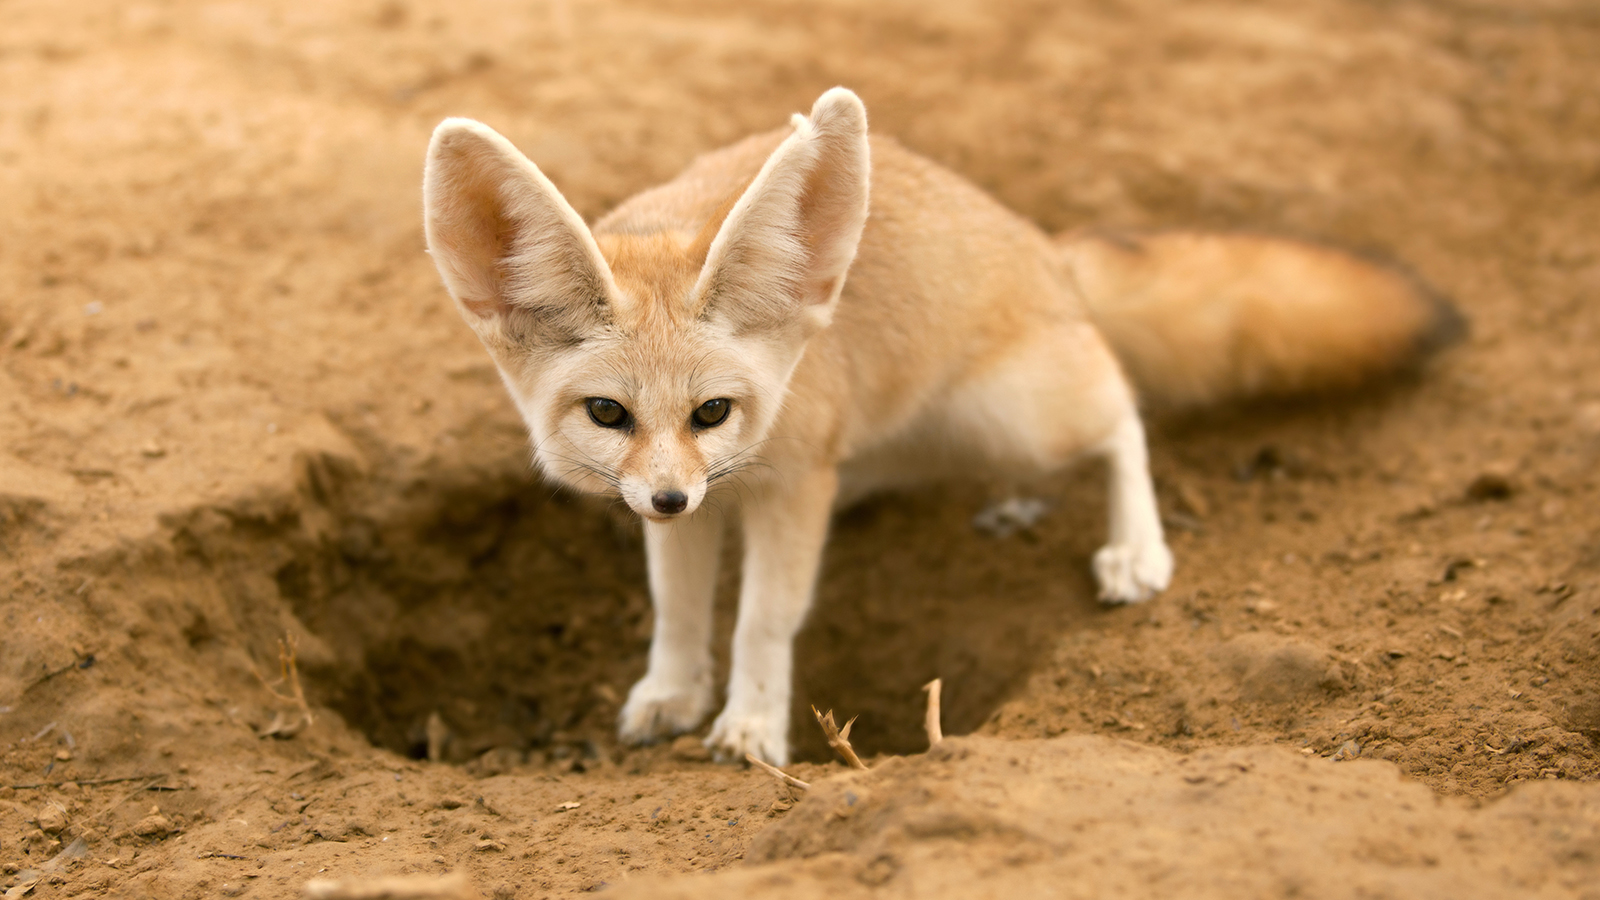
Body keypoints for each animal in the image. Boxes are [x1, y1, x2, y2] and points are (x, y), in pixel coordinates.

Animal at [422, 88, 1461, 765]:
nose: (672, 496)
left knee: (1122, 409)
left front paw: (752, 725)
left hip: (1018, 412)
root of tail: (1047, 250)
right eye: (609, 413)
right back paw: (1015, 505)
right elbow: (677, 608)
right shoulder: (701, 505)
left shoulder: (793, 486)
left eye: (712, 411)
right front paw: (673, 692)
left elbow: (763, 618)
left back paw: (1136, 547)